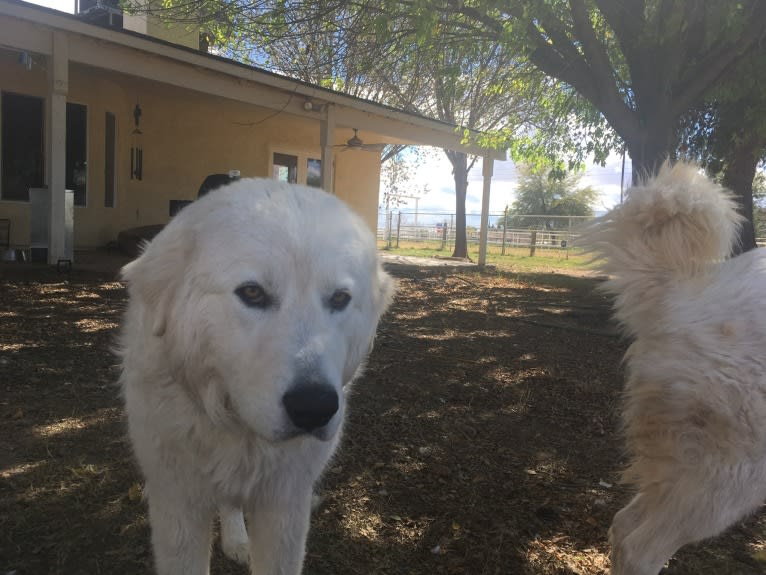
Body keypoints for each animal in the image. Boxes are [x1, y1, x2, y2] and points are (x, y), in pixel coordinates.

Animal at [120, 178, 396, 572]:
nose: (314, 407)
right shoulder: (179, 505)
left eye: (340, 299)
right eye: (252, 292)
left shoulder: (285, 506)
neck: (239, 431)